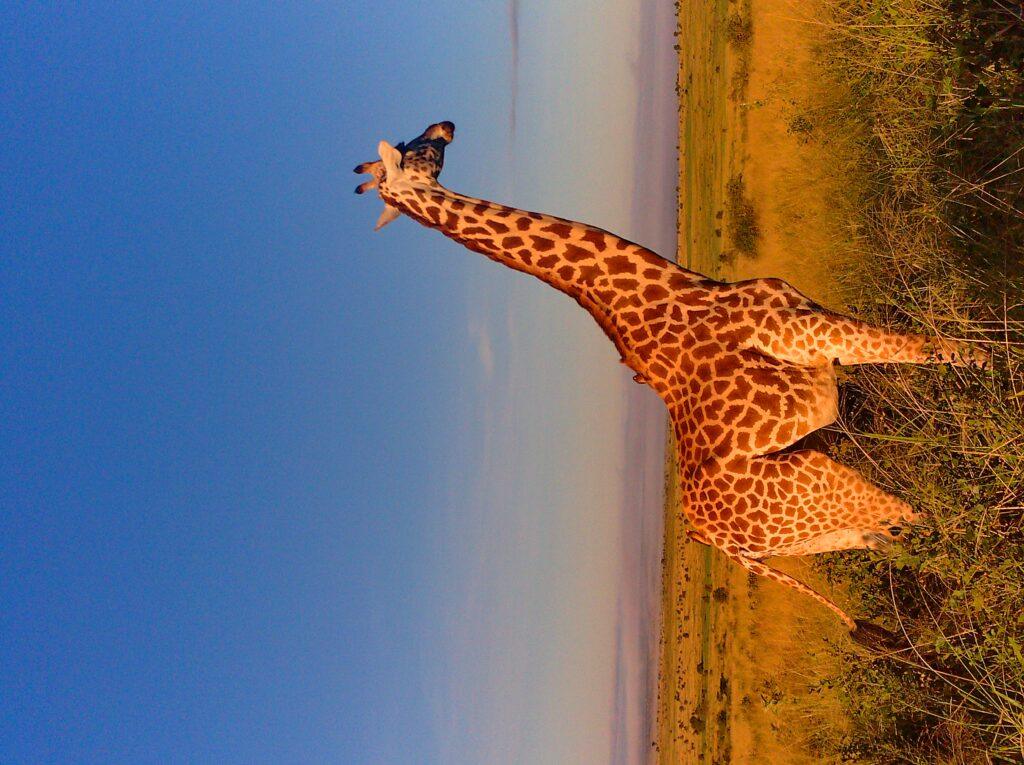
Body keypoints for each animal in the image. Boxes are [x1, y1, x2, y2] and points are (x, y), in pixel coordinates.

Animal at [355, 121, 988, 638]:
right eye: (417, 148)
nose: (446, 125)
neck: (679, 289)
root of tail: (727, 547)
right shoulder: (806, 333)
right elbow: (935, 347)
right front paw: (997, 367)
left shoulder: (812, 333)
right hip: (828, 489)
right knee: (927, 522)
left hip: (823, 526)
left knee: (905, 537)